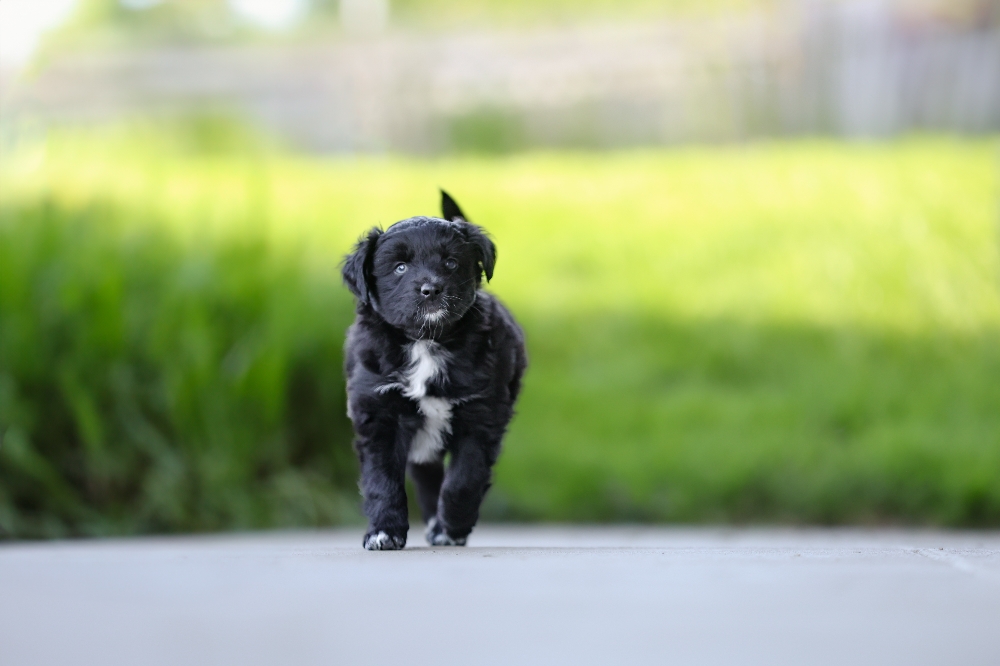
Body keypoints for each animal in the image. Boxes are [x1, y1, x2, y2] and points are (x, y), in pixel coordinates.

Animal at [341, 191, 527, 550]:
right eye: (399, 267)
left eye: (451, 263)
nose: (431, 289)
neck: (426, 341)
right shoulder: (379, 415)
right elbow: (382, 481)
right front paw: (384, 532)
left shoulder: (481, 416)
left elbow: (463, 480)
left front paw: (452, 527)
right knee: (426, 480)